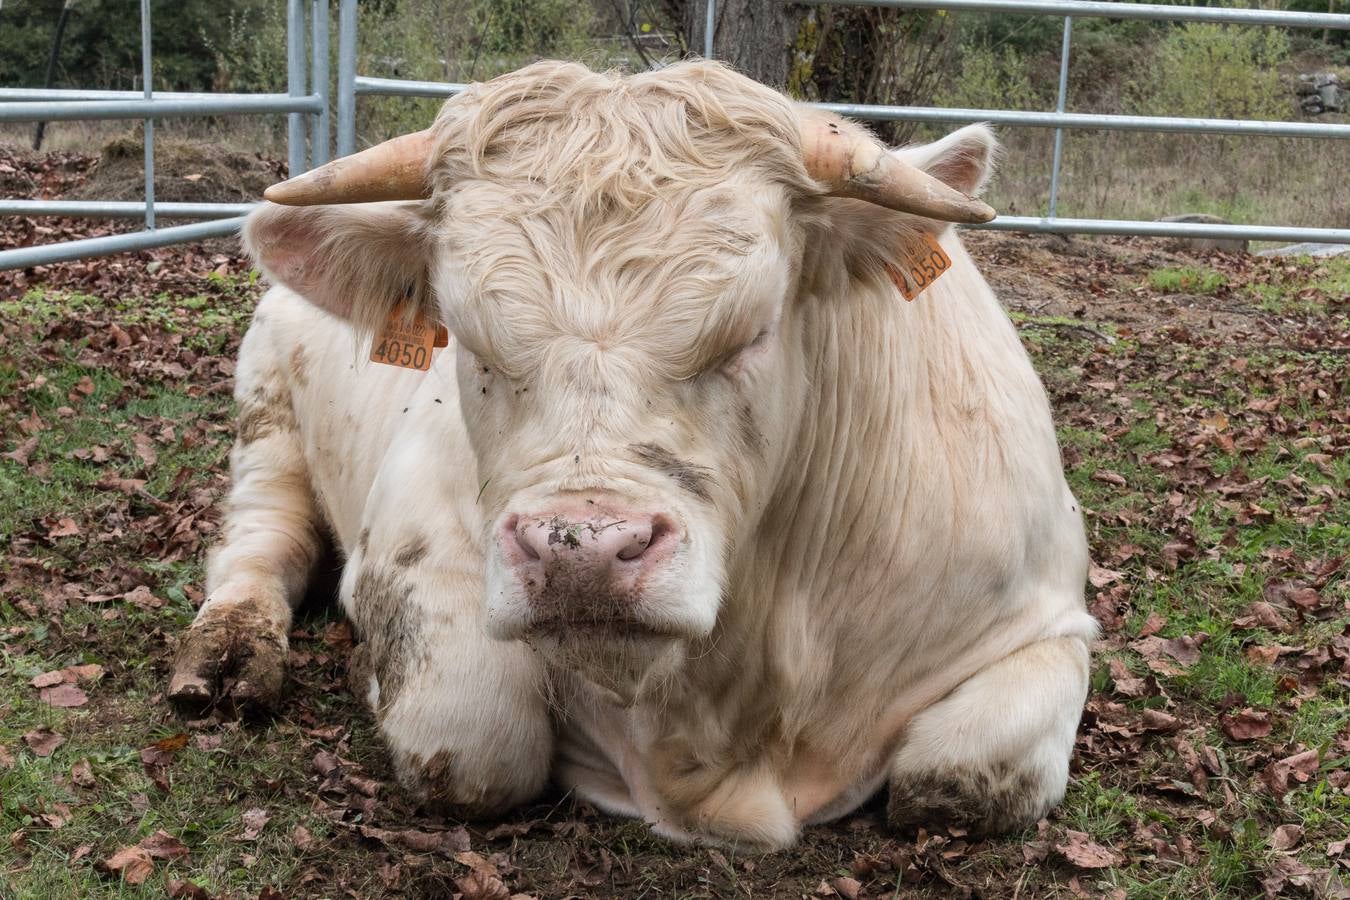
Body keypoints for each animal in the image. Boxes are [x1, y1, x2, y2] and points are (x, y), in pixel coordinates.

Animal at [168, 59, 1096, 847]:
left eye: (753, 332)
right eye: (468, 340)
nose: (580, 553)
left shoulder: (1045, 618)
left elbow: (961, 780)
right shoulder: (408, 556)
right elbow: (471, 746)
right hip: (266, 415)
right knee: (261, 543)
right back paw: (229, 652)